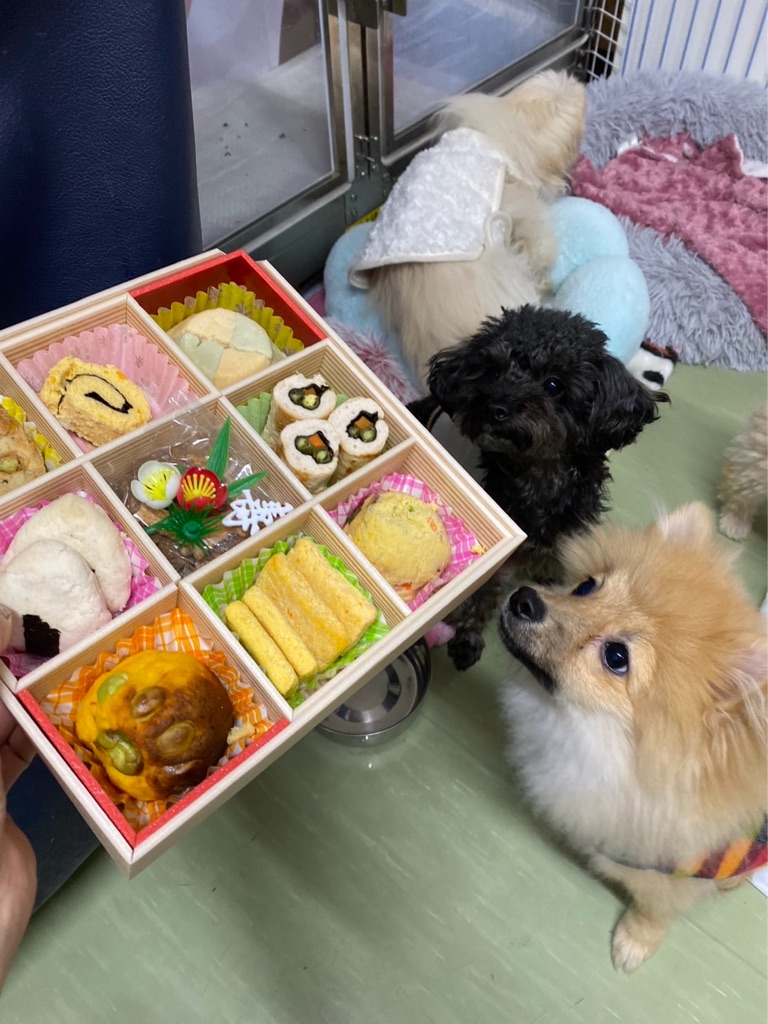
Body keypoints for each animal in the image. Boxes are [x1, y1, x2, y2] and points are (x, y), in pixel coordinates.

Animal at [409, 305, 667, 670]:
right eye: (492, 371)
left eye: (553, 384)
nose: (495, 408)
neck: (538, 472)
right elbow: (482, 593)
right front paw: (467, 633)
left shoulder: (566, 527)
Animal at [498, 503, 768, 973]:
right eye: (587, 587)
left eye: (617, 657)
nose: (524, 599)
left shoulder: (677, 875)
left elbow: (655, 909)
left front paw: (635, 941)